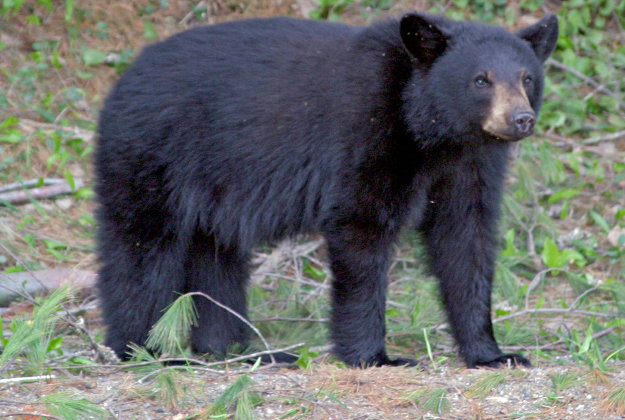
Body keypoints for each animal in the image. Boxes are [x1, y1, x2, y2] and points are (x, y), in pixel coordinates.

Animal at [95, 12, 560, 368]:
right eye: (481, 80)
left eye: (526, 78)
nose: (520, 119)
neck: (433, 133)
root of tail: (123, 79)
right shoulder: (366, 135)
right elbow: (361, 229)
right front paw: (375, 356)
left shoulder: (469, 167)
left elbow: (466, 241)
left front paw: (493, 353)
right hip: (154, 156)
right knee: (142, 249)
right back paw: (148, 351)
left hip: (214, 188)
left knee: (216, 255)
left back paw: (240, 351)